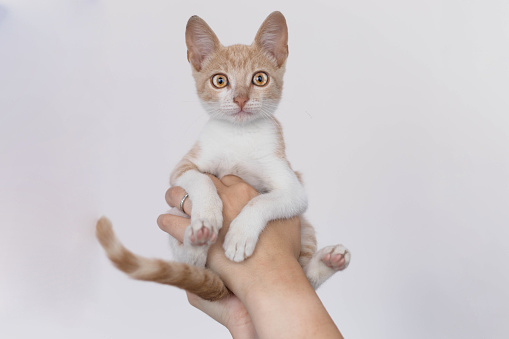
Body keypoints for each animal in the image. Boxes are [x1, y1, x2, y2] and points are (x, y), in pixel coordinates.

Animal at [95, 11, 350, 302]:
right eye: (220, 81)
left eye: (259, 79)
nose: (240, 99)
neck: (239, 135)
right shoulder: (183, 167)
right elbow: (201, 179)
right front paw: (207, 215)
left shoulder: (294, 188)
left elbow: (260, 201)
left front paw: (239, 235)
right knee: (193, 264)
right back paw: (197, 239)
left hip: (304, 229)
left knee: (305, 277)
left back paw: (329, 260)